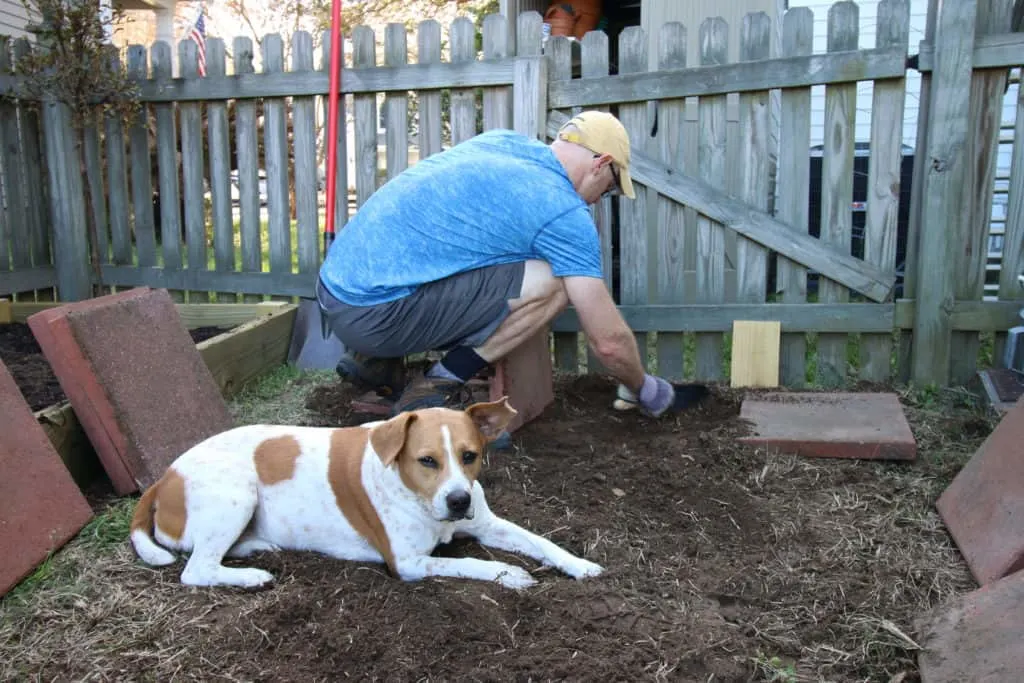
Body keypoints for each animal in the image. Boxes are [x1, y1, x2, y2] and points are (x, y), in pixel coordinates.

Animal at [131, 397, 602, 589]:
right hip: (237, 494)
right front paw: (509, 574)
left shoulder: (488, 524)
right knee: (196, 569)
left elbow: (540, 541)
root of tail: (163, 476)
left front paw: (578, 564)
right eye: (427, 460)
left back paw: (256, 548)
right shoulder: (408, 562)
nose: (459, 501)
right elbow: (469, 562)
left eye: (470, 456)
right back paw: (250, 576)